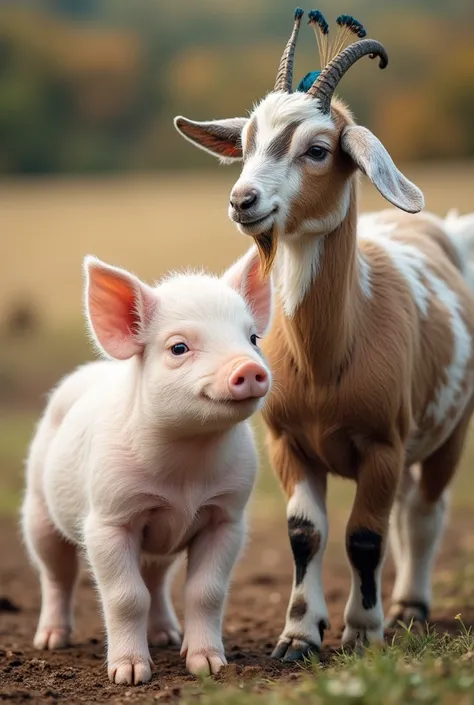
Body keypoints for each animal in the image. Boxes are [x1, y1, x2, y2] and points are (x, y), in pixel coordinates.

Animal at [173, 9, 474, 660]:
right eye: (246, 144)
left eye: (316, 149)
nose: (243, 200)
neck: (324, 360)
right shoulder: (289, 441)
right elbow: (304, 533)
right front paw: (298, 635)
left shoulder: (383, 444)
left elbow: (364, 536)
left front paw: (362, 632)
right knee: (409, 510)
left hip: (450, 428)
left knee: (425, 510)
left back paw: (409, 608)